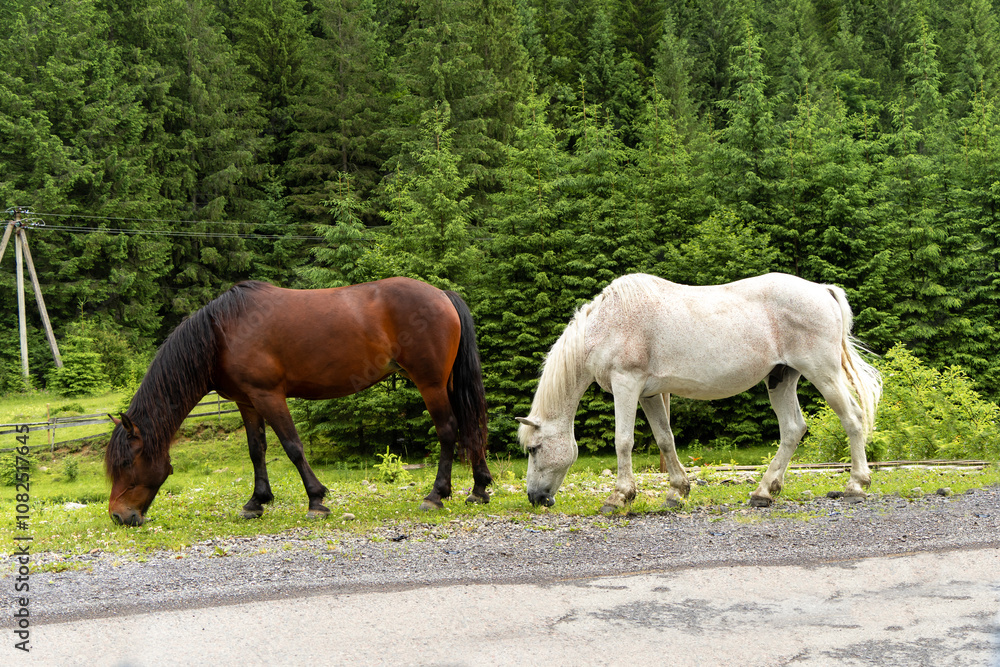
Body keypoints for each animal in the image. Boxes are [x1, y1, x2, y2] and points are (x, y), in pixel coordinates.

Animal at [105, 277, 492, 526]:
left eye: (126, 463)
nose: (119, 516)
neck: (221, 333)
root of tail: (442, 294)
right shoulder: (248, 402)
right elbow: (257, 450)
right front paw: (255, 503)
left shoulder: (269, 395)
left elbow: (292, 446)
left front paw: (316, 500)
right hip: (447, 383)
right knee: (469, 426)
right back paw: (478, 488)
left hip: (430, 383)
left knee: (448, 430)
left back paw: (436, 495)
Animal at [517, 273, 882, 512]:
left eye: (534, 449)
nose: (535, 498)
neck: (606, 323)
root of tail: (823, 290)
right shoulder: (649, 394)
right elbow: (665, 439)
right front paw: (677, 492)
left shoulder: (626, 385)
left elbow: (624, 442)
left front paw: (619, 497)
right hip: (781, 379)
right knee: (793, 429)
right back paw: (764, 492)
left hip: (823, 372)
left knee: (852, 418)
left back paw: (856, 485)